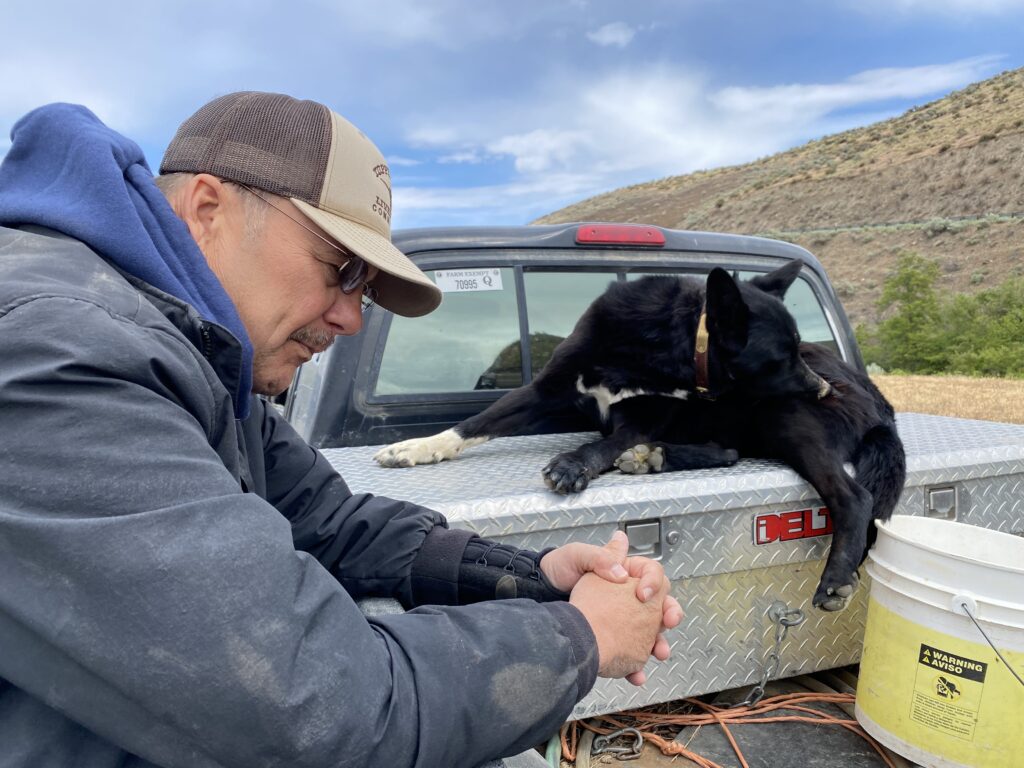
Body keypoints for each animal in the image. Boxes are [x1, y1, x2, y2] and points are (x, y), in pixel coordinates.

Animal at [376, 264, 905, 614]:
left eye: (798, 348)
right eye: (783, 356)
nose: (823, 389)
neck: (663, 341)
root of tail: (882, 404)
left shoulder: (643, 417)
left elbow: (602, 445)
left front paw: (573, 464)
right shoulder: (545, 390)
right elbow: (477, 422)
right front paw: (416, 448)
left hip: (782, 415)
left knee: (853, 496)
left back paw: (835, 579)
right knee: (729, 452)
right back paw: (651, 458)